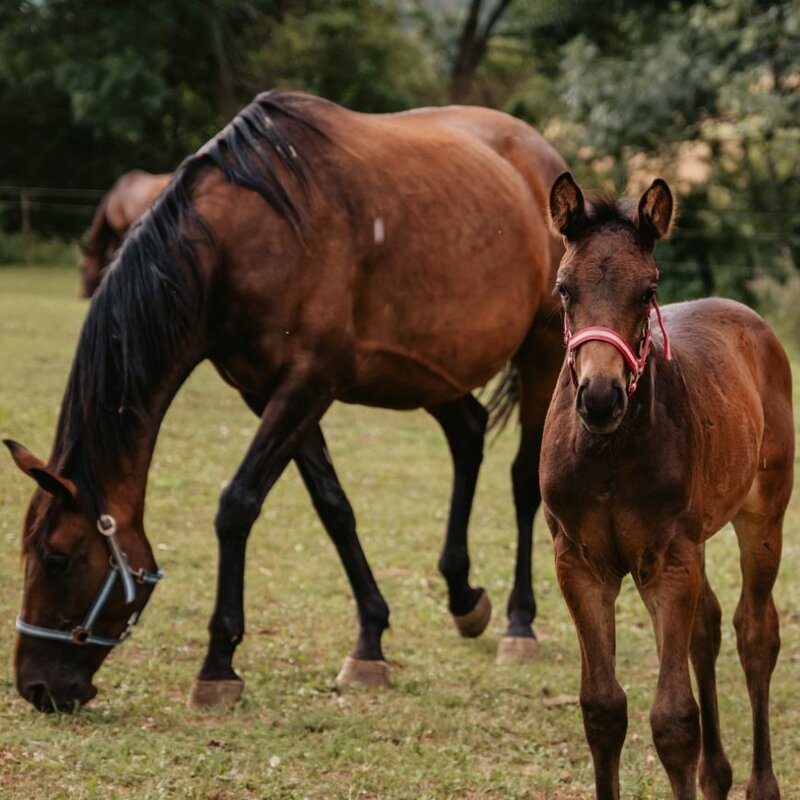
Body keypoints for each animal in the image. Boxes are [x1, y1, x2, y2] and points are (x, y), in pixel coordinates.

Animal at [6, 92, 568, 712]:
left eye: (58, 560)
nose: (36, 686)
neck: (238, 243)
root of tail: (540, 153)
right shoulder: (269, 391)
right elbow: (333, 507)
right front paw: (370, 641)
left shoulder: (309, 383)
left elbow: (238, 504)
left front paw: (219, 662)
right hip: (425, 370)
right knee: (468, 433)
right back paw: (463, 597)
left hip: (542, 352)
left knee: (524, 480)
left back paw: (520, 624)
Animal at [536, 172, 792, 796]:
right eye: (563, 288)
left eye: (648, 290)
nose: (601, 397)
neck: (607, 455)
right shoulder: (578, 562)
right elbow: (602, 708)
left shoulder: (670, 559)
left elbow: (674, 720)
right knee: (707, 626)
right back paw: (717, 777)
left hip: (764, 514)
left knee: (755, 633)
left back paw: (758, 784)